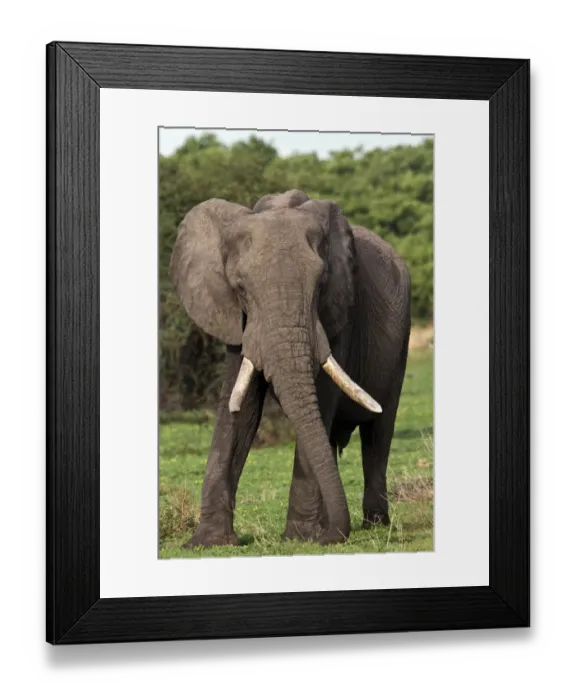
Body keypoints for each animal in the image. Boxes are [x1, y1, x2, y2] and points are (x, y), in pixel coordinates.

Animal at [169, 189, 411, 547]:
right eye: (240, 288)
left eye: (321, 283)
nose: (333, 537)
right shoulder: (236, 319)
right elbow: (240, 407)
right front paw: (208, 542)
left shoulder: (339, 310)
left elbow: (320, 399)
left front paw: (301, 538)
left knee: (378, 433)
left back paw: (373, 524)